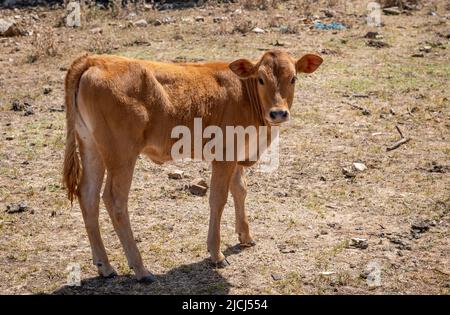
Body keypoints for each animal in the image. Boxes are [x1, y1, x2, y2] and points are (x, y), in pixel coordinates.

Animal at [63, 50, 324, 284]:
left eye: (293, 78)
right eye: (261, 79)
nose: (279, 113)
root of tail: (96, 59)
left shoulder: (237, 154)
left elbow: (240, 190)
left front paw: (245, 235)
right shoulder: (225, 155)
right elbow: (218, 199)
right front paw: (216, 254)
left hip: (91, 147)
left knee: (88, 196)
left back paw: (105, 266)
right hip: (121, 154)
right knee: (114, 200)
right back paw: (141, 269)